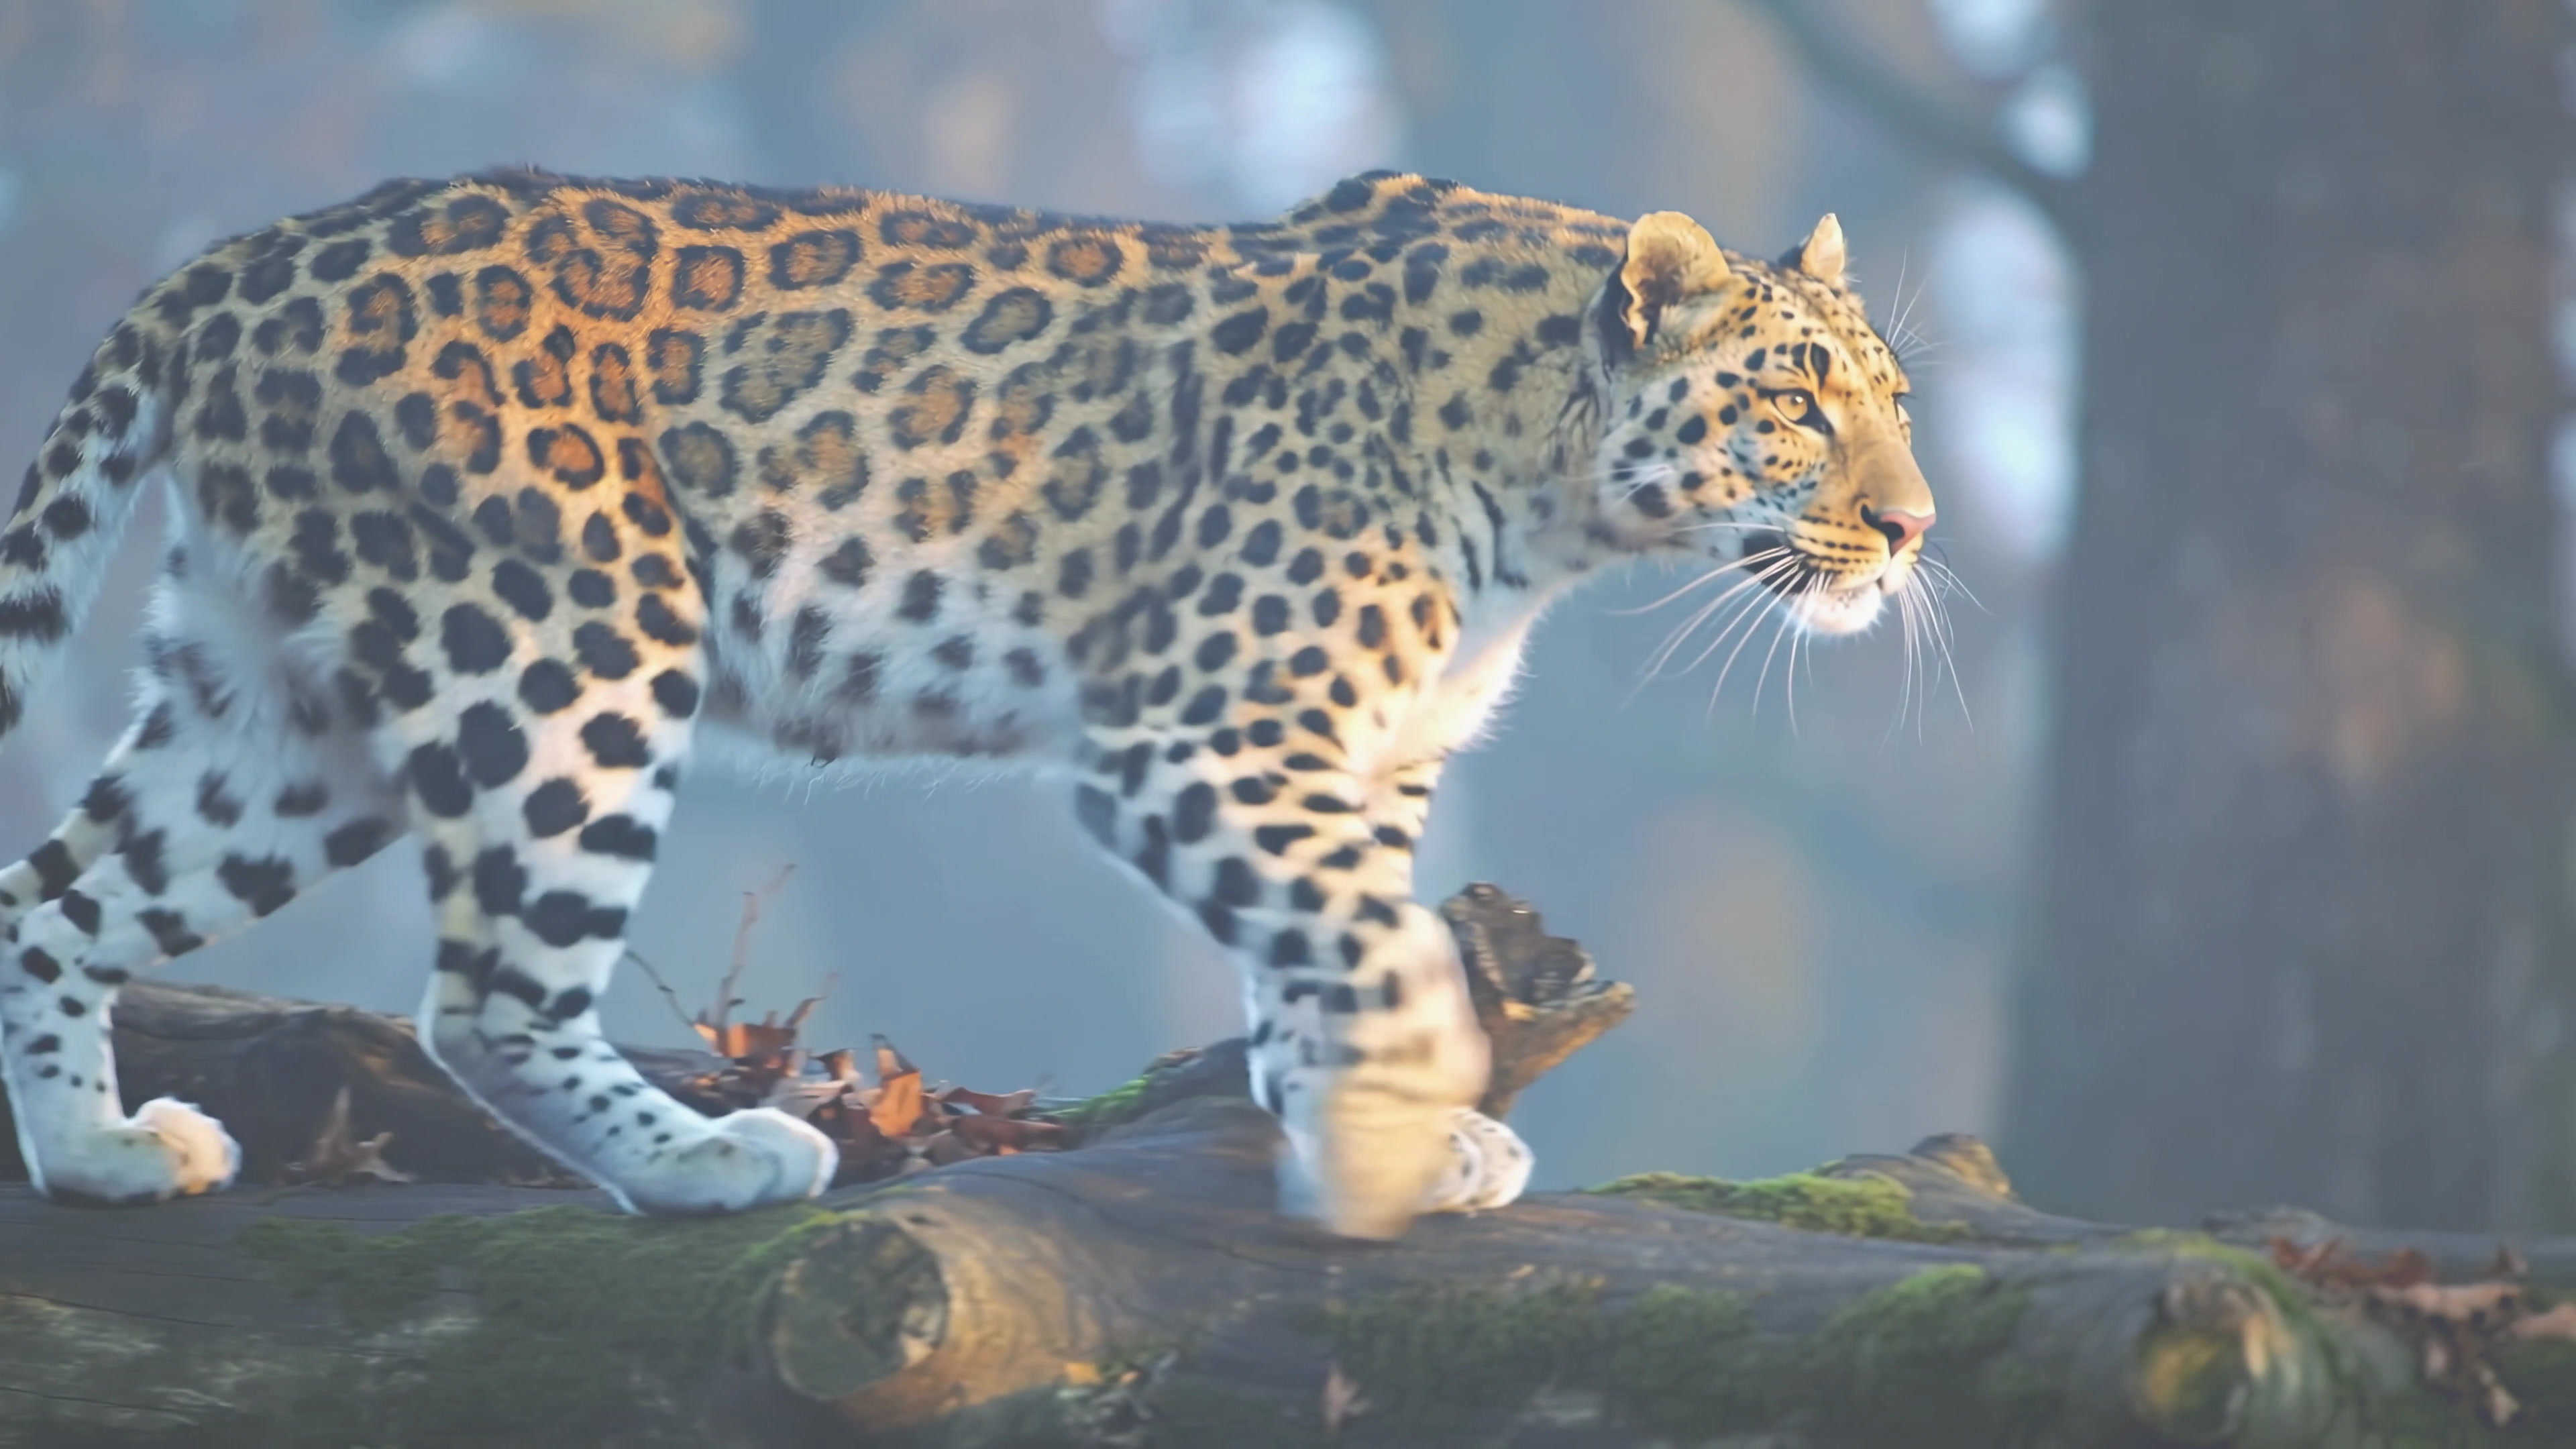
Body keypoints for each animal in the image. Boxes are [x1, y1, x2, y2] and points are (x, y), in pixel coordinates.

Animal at [0, 168, 1931, 1238]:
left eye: (1895, 399)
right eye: (1796, 401)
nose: (1915, 528)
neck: (1554, 495)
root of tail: (237, 260)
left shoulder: (1361, 763)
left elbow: (1330, 950)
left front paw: (1365, 1125)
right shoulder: (1202, 738)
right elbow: (1382, 956)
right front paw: (1388, 1150)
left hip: (279, 709)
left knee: (49, 898)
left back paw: (97, 1154)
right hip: (568, 646)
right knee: (483, 1002)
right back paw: (709, 1165)